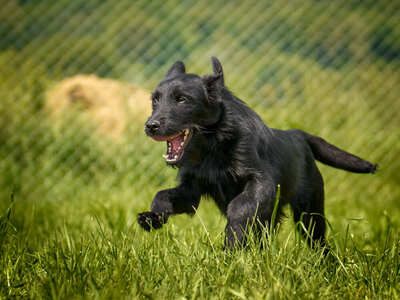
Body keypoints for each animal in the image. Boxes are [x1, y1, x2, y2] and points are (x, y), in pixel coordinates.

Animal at [137, 56, 376, 251]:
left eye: (181, 99)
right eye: (155, 100)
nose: (150, 126)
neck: (213, 146)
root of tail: (298, 134)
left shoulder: (262, 182)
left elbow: (239, 207)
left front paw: (231, 242)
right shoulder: (192, 188)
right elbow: (162, 195)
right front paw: (152, 217)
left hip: (309, 213)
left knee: (318, 242)